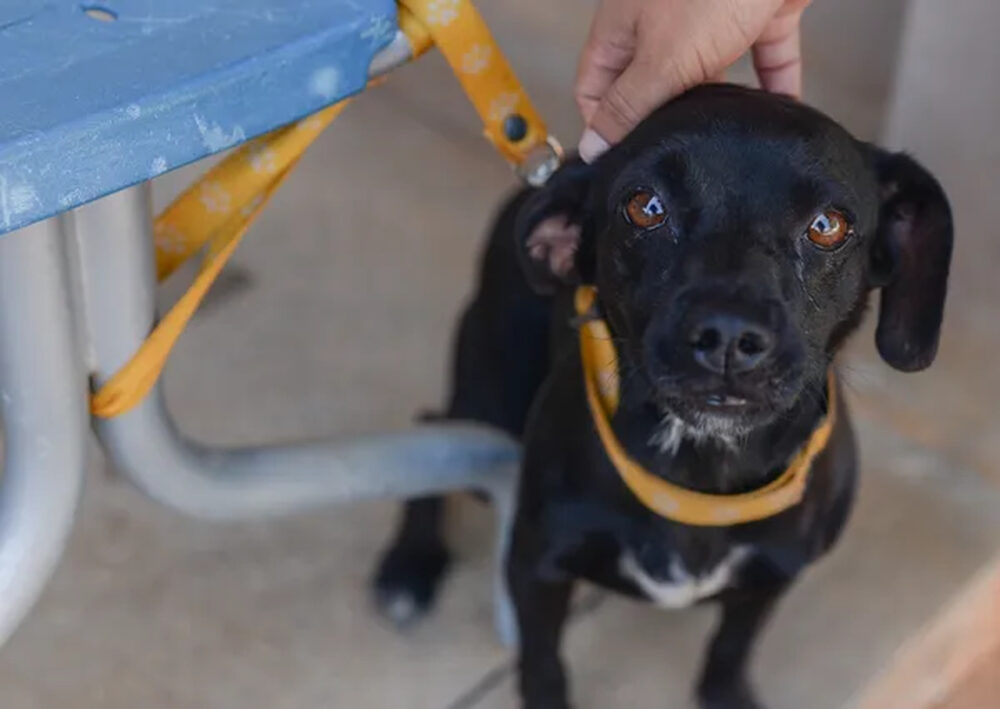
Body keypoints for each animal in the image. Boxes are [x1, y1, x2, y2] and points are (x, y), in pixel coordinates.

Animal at [372, 87, 948, 708]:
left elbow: (732, 646)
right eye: (645, 206)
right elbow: (543, 664)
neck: (702, 469)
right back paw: (409, 569)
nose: (728, 335)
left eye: (827, 224)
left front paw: (725, 694)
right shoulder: (537, 567)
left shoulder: (773, 576)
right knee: (432, 433)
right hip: (492, 404)